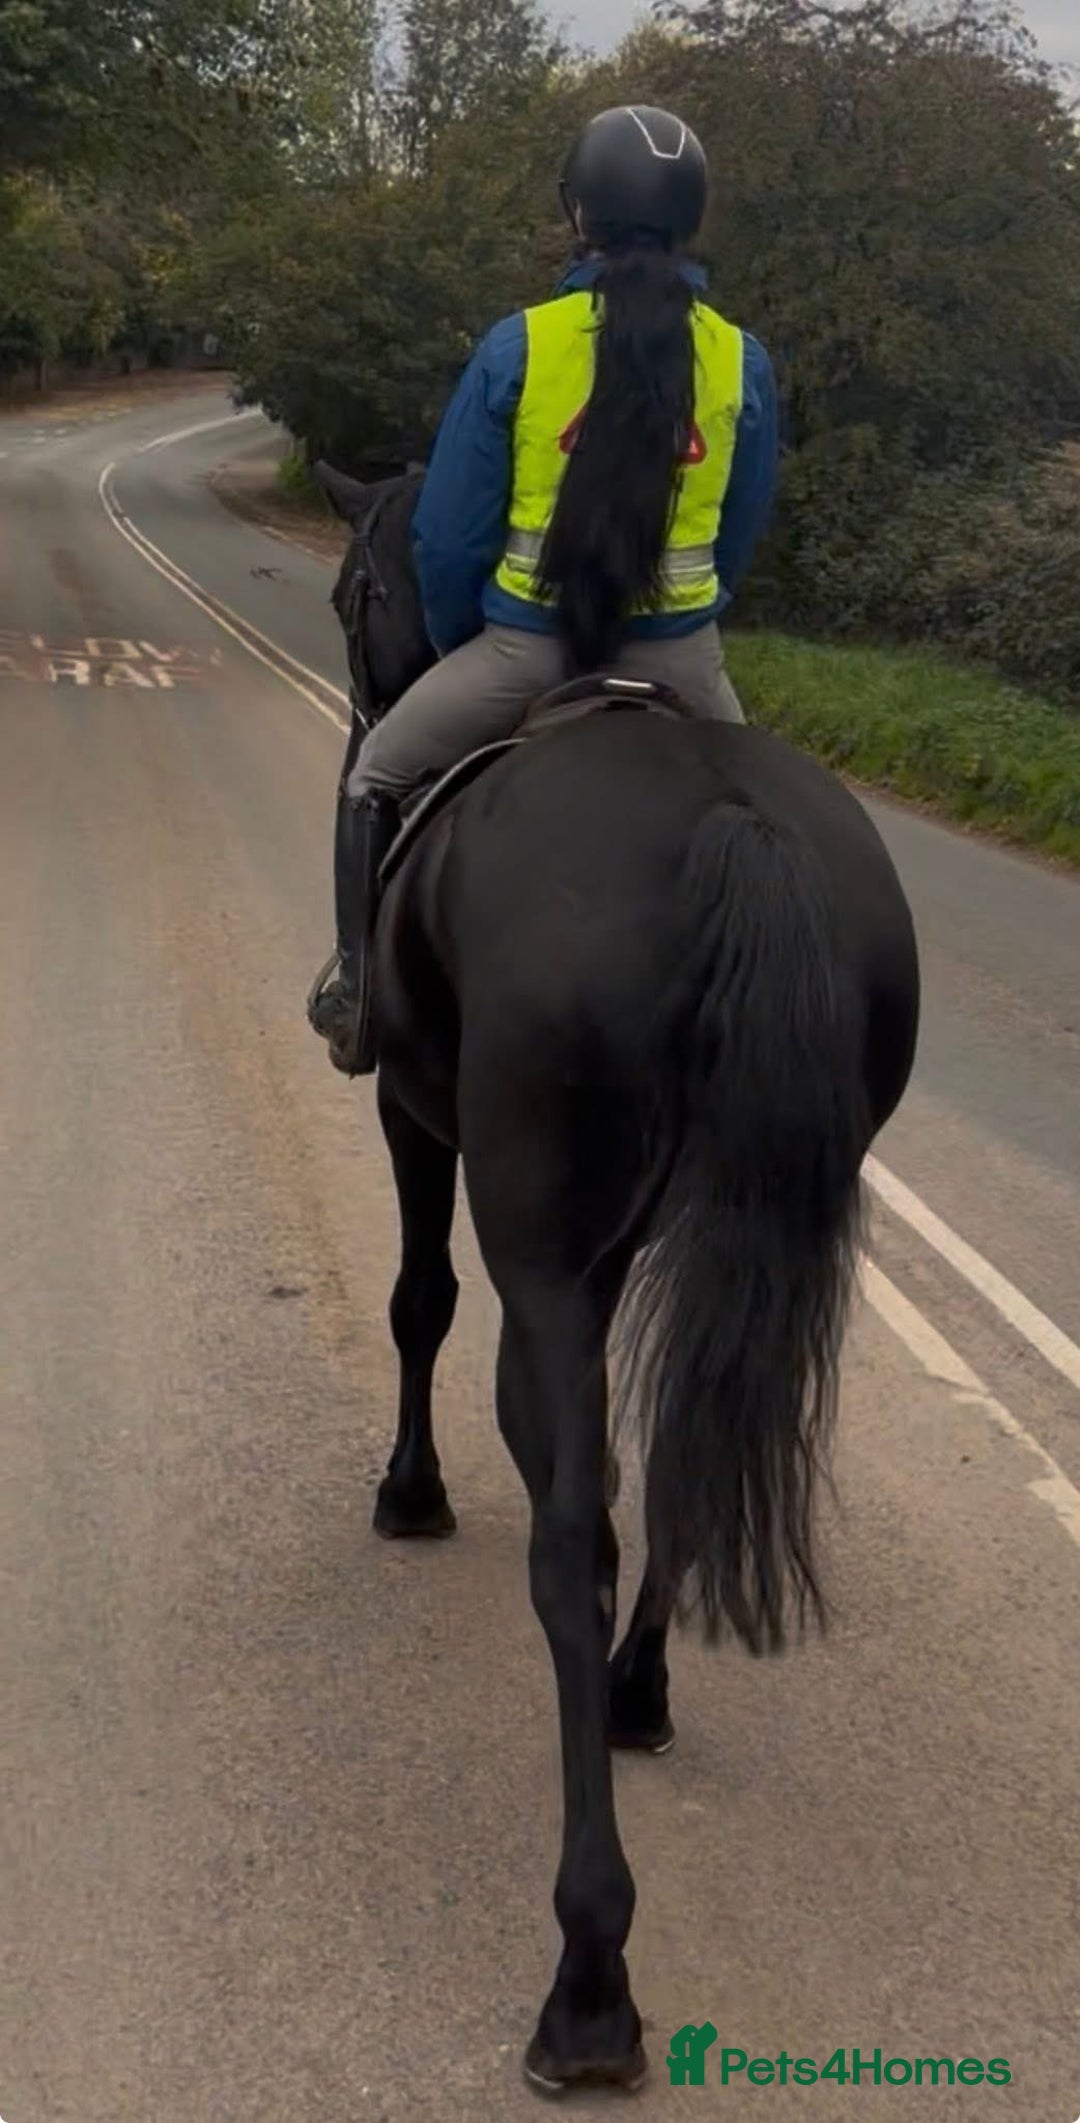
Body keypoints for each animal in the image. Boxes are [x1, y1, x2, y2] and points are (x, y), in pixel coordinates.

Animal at [312, 460, 921, 2093]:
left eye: (352, 588)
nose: (366, 695)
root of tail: (734, 824)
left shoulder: (420, 1123)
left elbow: (418, 1302)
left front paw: (410, 1493)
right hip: (751, 1221)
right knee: (696, 1445)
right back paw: (646, 1692)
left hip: (539, 1237)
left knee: (573, 1534)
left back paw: (589, 1978)